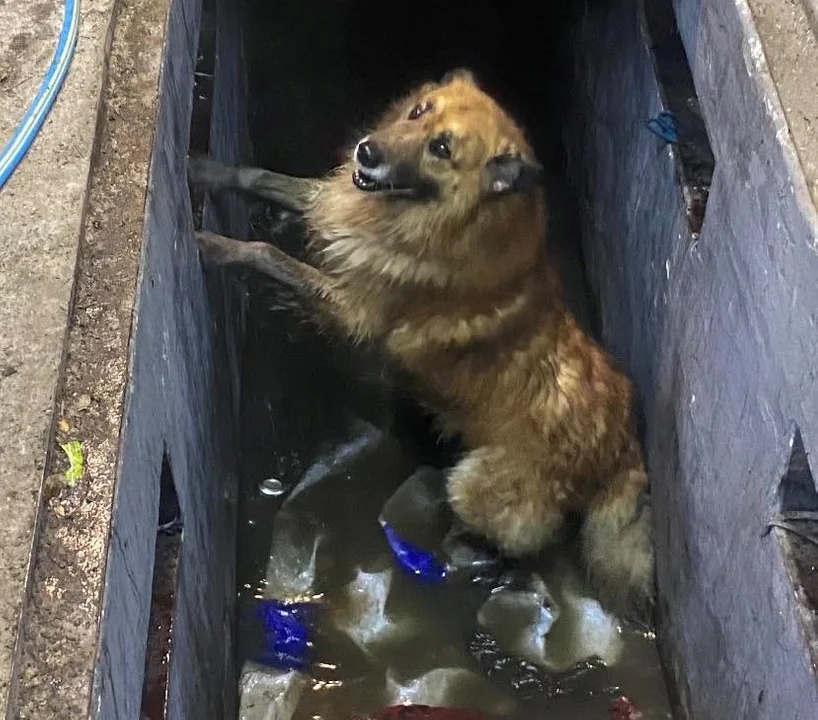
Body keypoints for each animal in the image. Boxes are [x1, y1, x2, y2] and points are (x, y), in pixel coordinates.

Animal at [188, 69, 652, 624]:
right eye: (419, 111)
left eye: (442, 149)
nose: (366, 151)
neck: (433, 219)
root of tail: (622, 446)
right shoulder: (334, 206)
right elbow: (263, 177)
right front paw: (206, 170)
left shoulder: (350, 309)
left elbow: (265, 252)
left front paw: (213, 246)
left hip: (476, 484)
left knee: (518, 543)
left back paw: (468, 554)